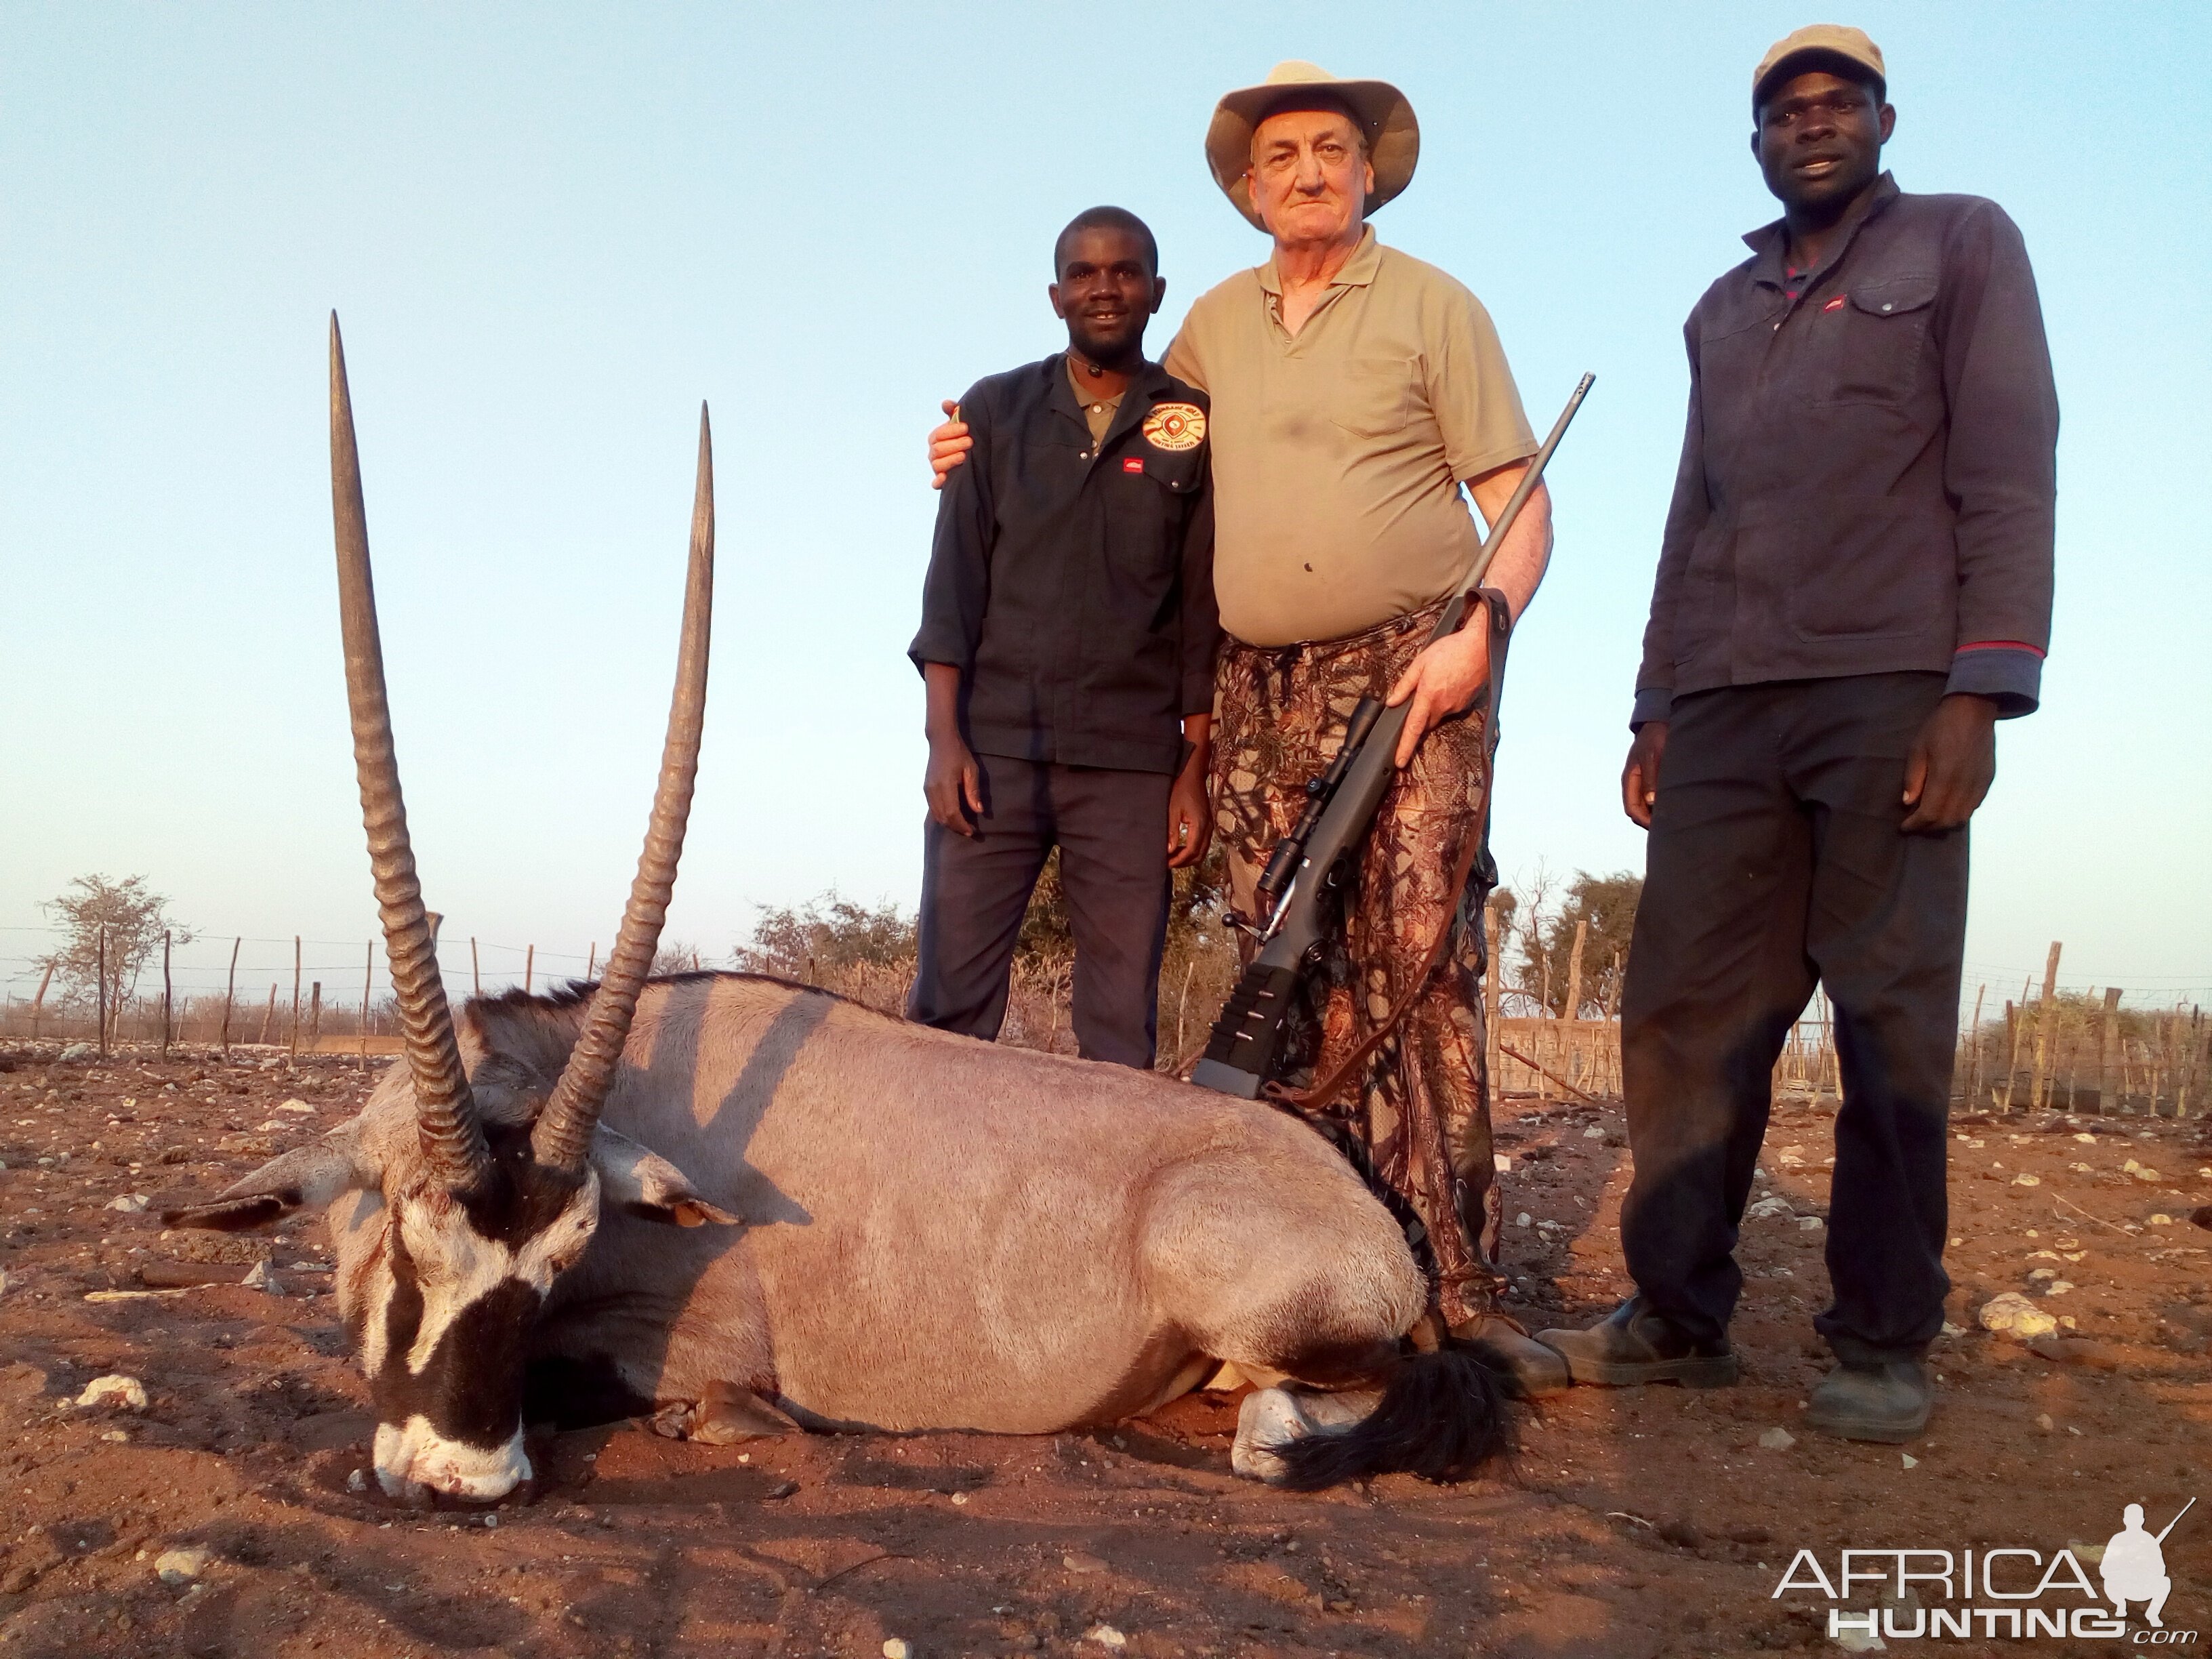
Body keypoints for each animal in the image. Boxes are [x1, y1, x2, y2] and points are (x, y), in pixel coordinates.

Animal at [172, 321, 1513, 1504]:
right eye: (407, 1245)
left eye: (558, 1265)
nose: (465, 1480)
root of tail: (1368, 1216)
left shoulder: (701, 1335)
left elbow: (662, 1387)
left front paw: (719, 1420)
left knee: (1291, 1417)